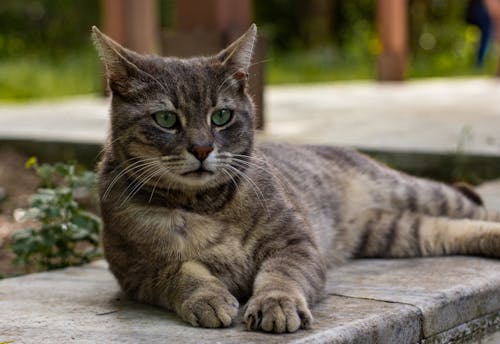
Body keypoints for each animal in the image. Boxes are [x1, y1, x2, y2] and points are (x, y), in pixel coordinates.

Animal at [91, 24, 500, 334]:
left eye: (221, 116)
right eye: (166, 119)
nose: (203, 149)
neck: (205, 206)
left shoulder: (295, 244)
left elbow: (280, 276)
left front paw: (276, 304)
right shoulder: (138, 271)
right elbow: (183, 272)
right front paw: (208, 297)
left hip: (414, 192)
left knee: (474, 210)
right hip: (393, 232)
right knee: (447, 229)